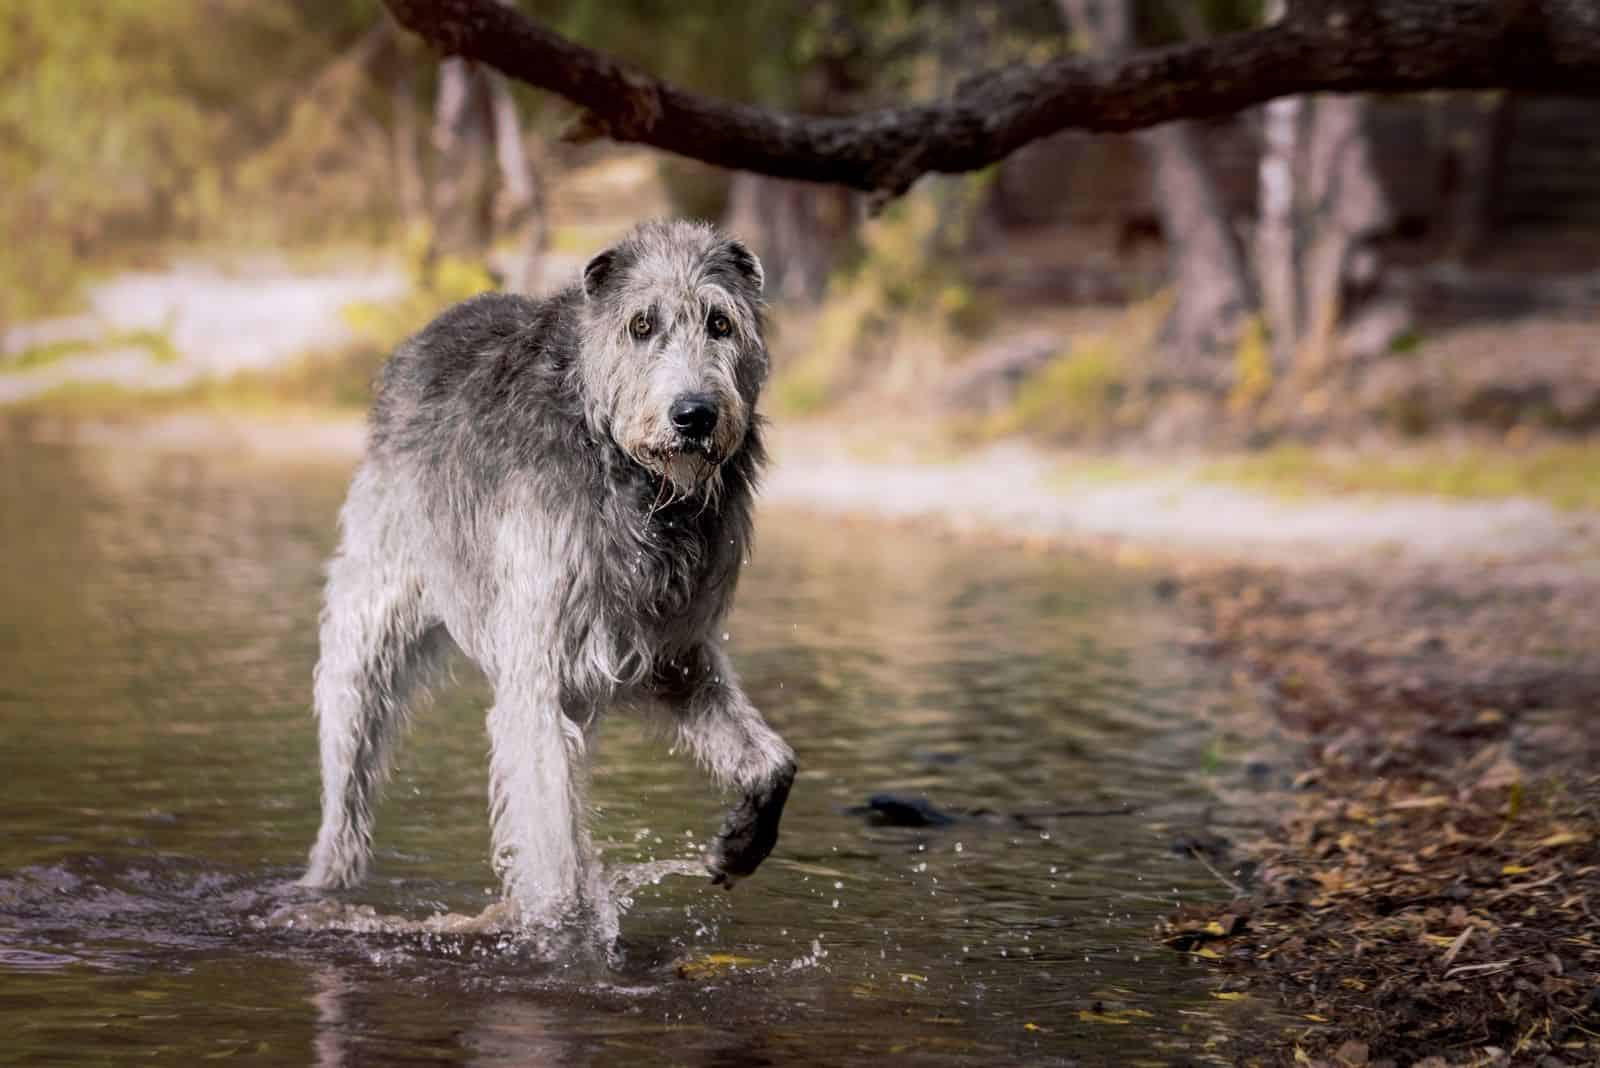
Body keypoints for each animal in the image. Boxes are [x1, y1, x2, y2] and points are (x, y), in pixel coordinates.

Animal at [299, 219, 793, 927]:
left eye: (720, 323)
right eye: (641, 325)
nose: (694, 415)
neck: (636, 479)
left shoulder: (672, 654)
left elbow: (775, 762)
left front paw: (743, 841)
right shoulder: (538, 662)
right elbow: (550, 840)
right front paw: (560, 928)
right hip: (371, 621)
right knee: (349, 761)